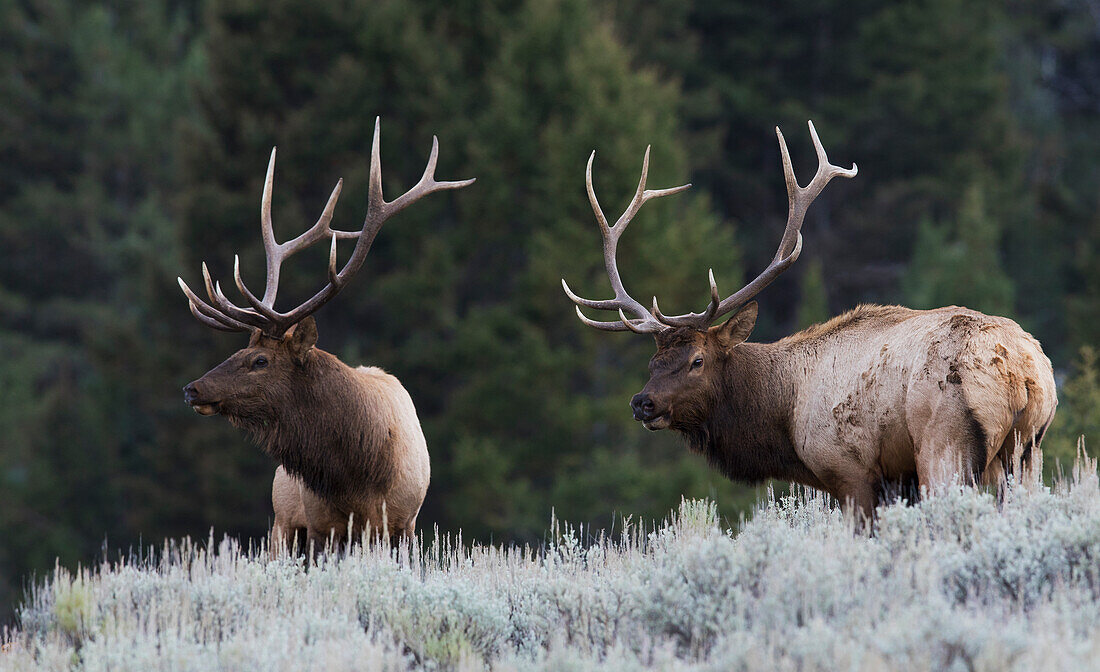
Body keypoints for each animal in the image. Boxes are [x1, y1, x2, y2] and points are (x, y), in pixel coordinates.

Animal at [179, 120, 473, 549]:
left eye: (260, 360)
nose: (193, 389)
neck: (361, 474)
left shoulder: (405, 523)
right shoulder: (321, 526)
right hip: (282, 527)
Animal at [567, 120, 1056, 516]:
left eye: (697, 361)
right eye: (652, 363)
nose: (642, 402)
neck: (785, 417)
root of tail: (1023, 373)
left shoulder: (850, 470)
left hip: (945, 444)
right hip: (1028, 453)